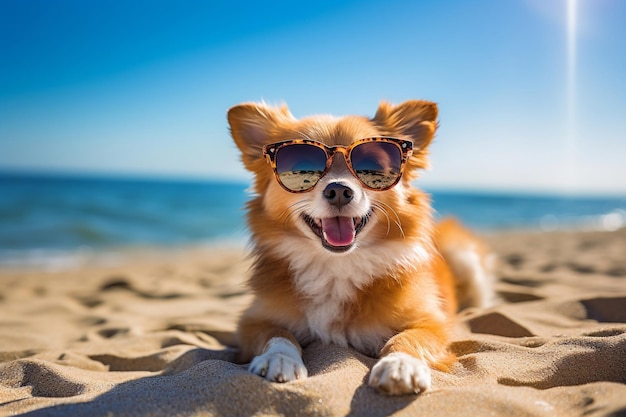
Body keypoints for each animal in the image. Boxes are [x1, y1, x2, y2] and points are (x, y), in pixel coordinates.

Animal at [225, 99, 492, 394]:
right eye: (302, 168)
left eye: (372, 166)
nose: (339, 190)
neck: (337, 265)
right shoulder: (252, 322)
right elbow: (278, 334)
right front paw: (279, 358)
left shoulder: (433, 322)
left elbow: (408, 338)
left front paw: (401, 364)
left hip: (465, 259)